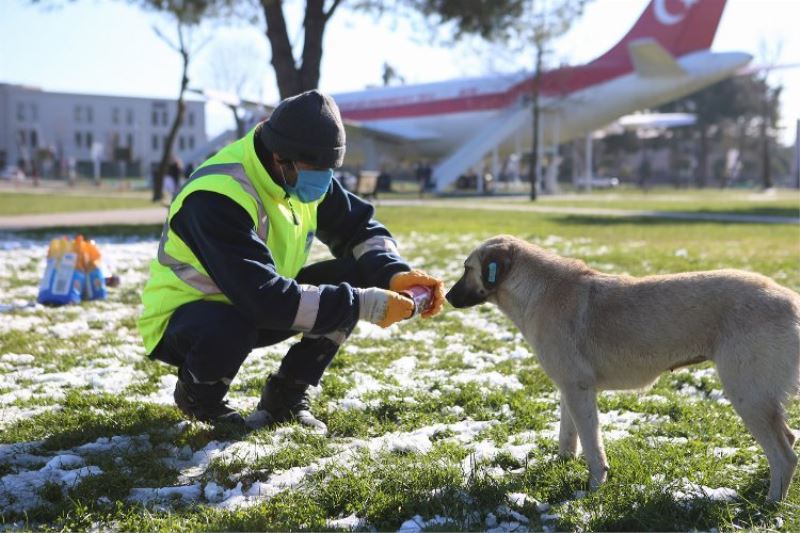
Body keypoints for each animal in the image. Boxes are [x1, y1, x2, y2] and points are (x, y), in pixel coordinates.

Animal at [444, 233, 800, 498]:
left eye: (466, 268)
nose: (446, 297)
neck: (535, 289)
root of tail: (791, 300)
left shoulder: (578, 390)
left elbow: (592, 445)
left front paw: (594, 488)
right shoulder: (569, 389)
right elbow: (567, 436)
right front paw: (561, 464)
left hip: (747, 395)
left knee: (784, 455)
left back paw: (769, 505)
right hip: (758, 398)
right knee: (789, 440)